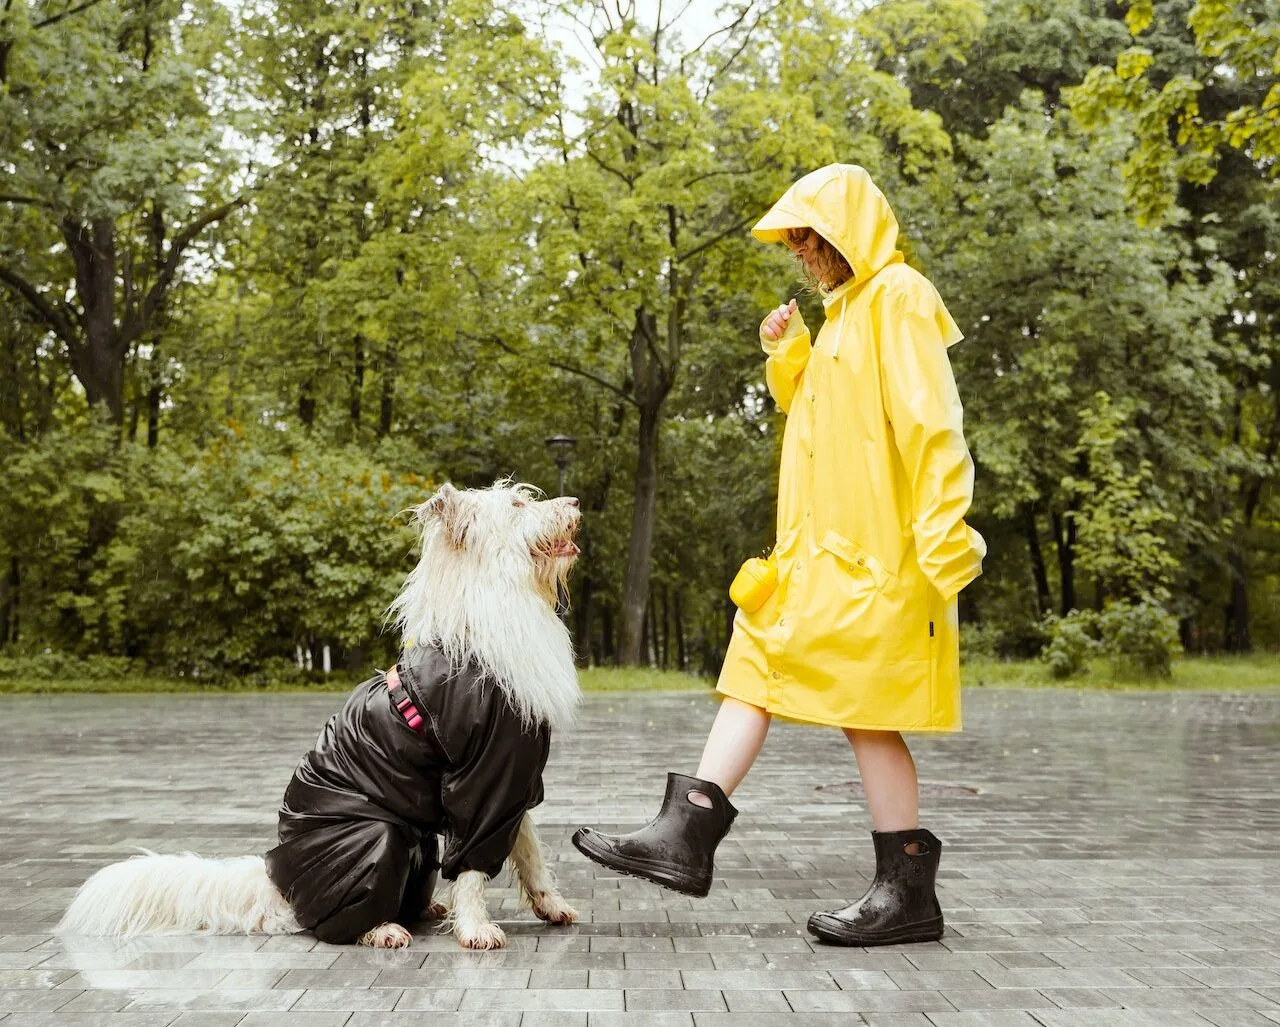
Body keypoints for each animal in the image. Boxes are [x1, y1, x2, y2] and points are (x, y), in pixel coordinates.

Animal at [56, 478, 581, 942]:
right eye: (517, 505)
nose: (575, 502)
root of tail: (279, 884)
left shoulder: (511, 779)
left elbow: (529, 848)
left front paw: (551, 904)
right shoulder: (480, 781)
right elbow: (474, 865)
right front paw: (475, 929)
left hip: (415, 841)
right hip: (374, 837)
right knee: (340, 920)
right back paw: (383, 929)